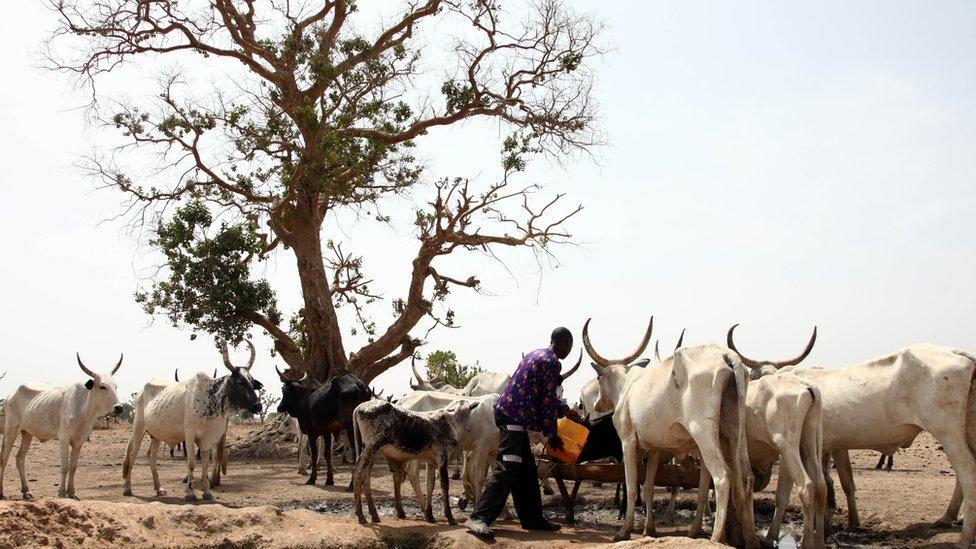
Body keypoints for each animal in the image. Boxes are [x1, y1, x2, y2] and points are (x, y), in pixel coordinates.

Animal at [0, 354, 124, 498]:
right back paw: (1, 491)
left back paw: (26, 491)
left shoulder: (79, 441)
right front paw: (61, 492)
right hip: (11, 429)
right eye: (102, 386)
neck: (83, 410)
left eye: (115, 386)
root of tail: (10, 395)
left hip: (27, 433)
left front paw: (72, 492)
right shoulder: (63, 438)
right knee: (4, 457)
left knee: (20, 458)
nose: (119, 407)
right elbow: (64, 467)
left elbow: (73, 467)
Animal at [584, 316, 760, 544]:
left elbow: (631, 486)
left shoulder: (628, 442)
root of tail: (726, 355)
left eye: (598, 378)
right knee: (746, 477)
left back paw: (715, 537)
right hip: (735, 430)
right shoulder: (654, 449)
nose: (597, 404)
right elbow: (648, 488)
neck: (627, 388)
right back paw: (750, 539)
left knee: (722, 476)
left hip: (703, 434)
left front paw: (624, 530)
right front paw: (649, 529)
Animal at [728, 328, 976, 544]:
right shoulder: (827, 447)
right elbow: (831, 484)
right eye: (756, 375)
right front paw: (830, 527)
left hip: (947, 432)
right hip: (964, 432)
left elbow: (812, 488)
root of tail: (959, 353)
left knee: (967, 472)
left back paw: (963, 536)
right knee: (963, 476)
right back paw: (949, 518)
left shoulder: (816, 449)